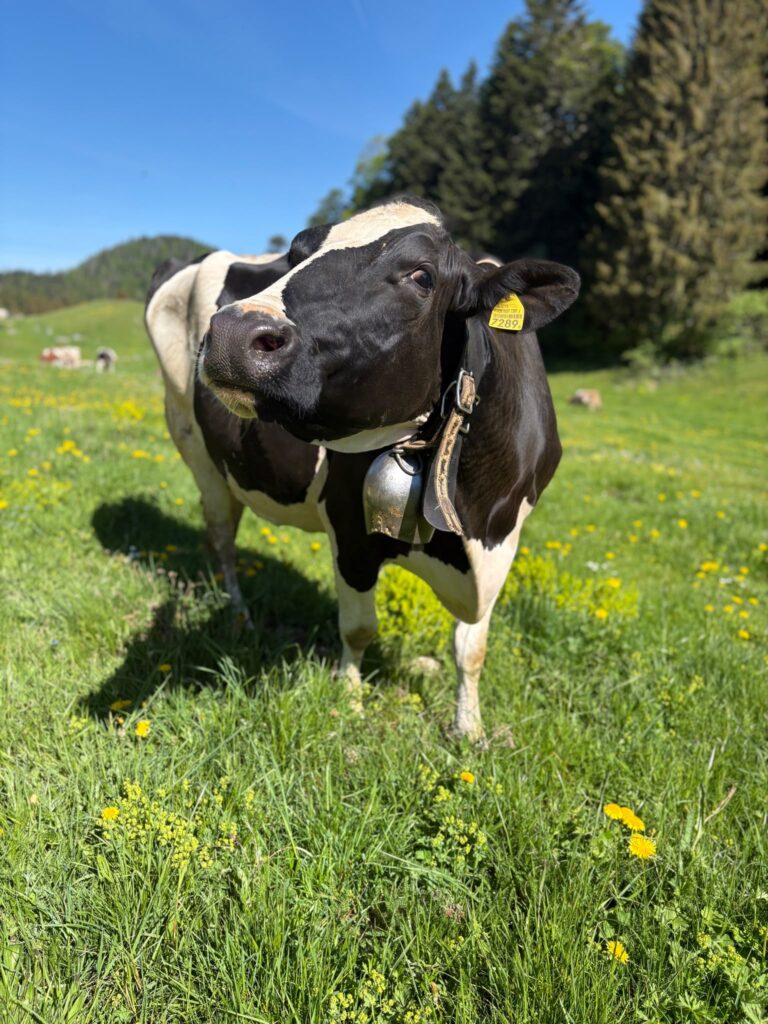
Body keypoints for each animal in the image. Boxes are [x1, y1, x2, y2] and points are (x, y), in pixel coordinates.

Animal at [145, 197, 579, 741]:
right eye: (296, 254)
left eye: (422, 276)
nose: (232, 331)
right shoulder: (348, 526)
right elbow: (358, 628)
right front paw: (350, 705)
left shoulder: (505, 539)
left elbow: (471, 649)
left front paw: (470, 729)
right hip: (196, 450)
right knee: (221, 536)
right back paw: (240, 614)